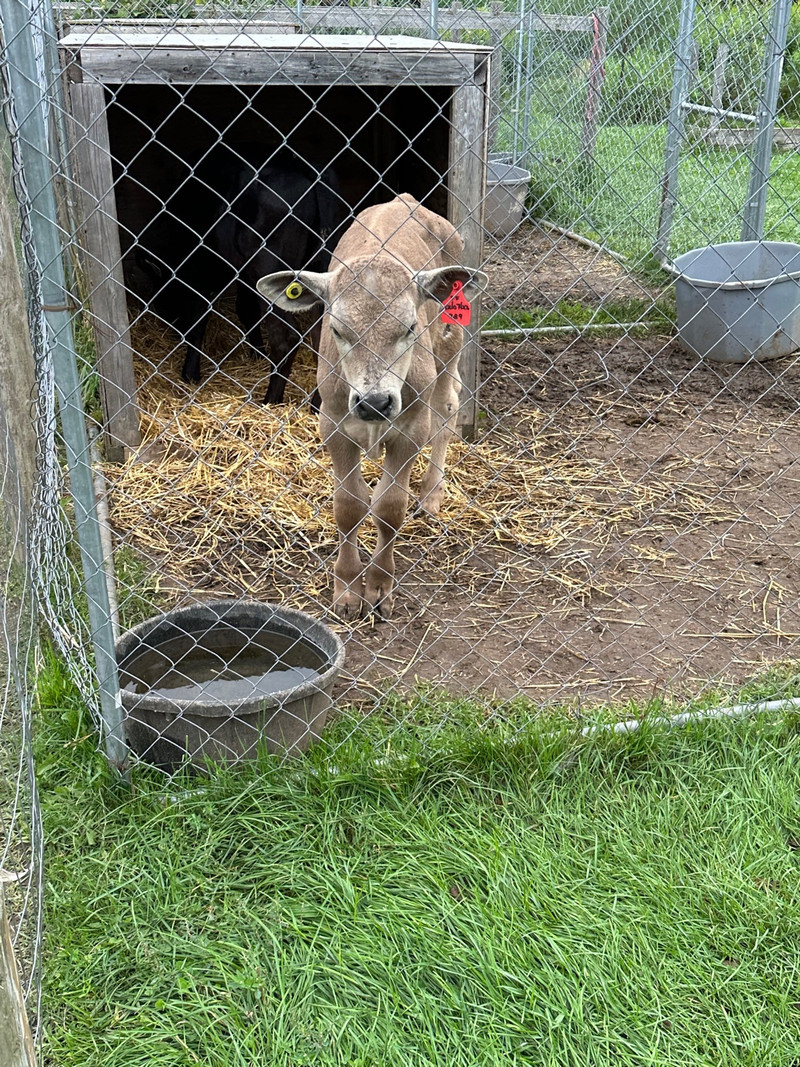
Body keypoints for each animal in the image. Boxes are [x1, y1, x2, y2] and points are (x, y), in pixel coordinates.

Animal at [129, 148, 345, 405]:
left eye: (163, 301)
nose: (174, 332)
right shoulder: (244, 276)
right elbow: (245, 310)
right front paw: (257, 352)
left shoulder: (201, 274)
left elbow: (199, 319)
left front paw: (190, 372)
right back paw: (317, 404)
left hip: (271, 270)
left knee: (286, 337)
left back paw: (270, 399)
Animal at [256, 194, 488, 620]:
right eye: (336, 329)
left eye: (410, 327)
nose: (376, 402)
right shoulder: (333, 424)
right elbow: (349, 506)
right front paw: (348, 591)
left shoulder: (411, 428)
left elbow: (389, 506)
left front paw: (379, 586)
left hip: (451, 341)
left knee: (448, 406)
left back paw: (431, 496)